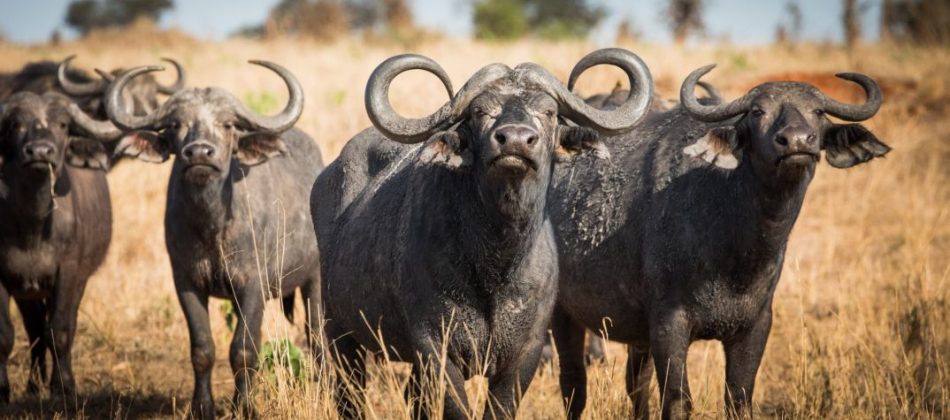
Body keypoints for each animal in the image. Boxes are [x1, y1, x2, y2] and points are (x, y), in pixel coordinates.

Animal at [0, 91, 122, 400]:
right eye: (15, 124)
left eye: (63, 125)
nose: (40, 152)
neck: (33, 226)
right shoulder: (5, 277)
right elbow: (6, 334)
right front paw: (3, 389)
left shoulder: (67, 272)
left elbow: (60, 330)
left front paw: (63, 387)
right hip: (27, 291)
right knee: (34, 329)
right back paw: (33, 386)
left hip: (78, 281)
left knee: (61, 325)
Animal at [106, 60, 326, 418]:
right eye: (176, 124)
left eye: (227, 124)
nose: (198, 153)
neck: (212, 225)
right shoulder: (186, 283)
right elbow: (202, 349)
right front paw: (202, 407)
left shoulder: (253, 286)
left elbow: (244, 350)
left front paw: (245, 407)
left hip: (315, 281)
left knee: (317, 336)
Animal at [312, 47, 656, 418]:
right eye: (480, 111)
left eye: (548, 112)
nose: (516, 140)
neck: (496, 265)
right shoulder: (435, 348)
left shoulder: (525, 354)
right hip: (339, 332)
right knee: (349, 395)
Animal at [552, 63, 892, 420]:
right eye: (757, 111)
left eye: (818, 111)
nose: (797, 141)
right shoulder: (668, 326)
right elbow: (677, 400)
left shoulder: (755, 326)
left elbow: (738, 399)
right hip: (564, 316)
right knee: (574, 385)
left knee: (635, 385)